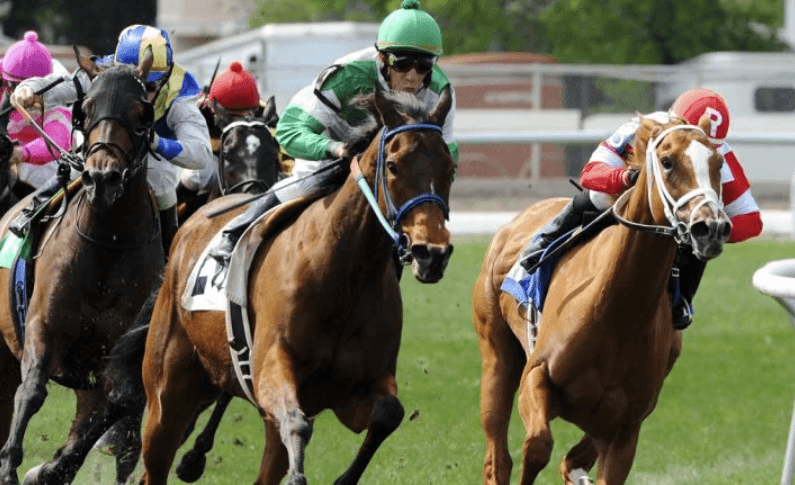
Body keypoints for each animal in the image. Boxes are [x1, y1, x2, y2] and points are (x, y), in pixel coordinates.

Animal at [0, 47, 166, 485]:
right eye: (85, 108)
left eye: (142, 112)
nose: (101, 178)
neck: (106, 246)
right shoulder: (42, 324)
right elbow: (32, 390)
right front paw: (11, 465)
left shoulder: (117, 356)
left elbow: (115, 406)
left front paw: (48, 469)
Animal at [132, 86, 455, 484]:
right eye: (393, 166)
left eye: (450, 167)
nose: (432, 254)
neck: (342, 275)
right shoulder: (271, 367)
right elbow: (296, 424)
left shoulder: (359, 385)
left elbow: (387, 414)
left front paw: (342, 479)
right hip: (167, 392)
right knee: (157, 455)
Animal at [472, 114, 731, 484]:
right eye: (667, 161)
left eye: (718, 163)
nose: (710, 228)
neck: (616, 313)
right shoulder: (536, 378)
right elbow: (536, 447)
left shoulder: (625, 426)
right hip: (496, 352)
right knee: (498, 457)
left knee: (568, 460)